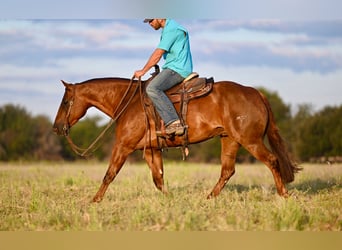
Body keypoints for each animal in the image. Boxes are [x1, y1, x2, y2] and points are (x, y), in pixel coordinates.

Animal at [52, 72, 300, 203]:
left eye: (65, 102)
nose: (56, 127)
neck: (129, 103)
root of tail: (255, 93)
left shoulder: (123, 146)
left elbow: (109, 174)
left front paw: (94, 201)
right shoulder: (151, 150)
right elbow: (158, 178)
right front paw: (168, 199)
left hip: (250, 141)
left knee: (272, 161)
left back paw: (284, 195)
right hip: (229, 140)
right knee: (227, 171)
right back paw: (208, 198)